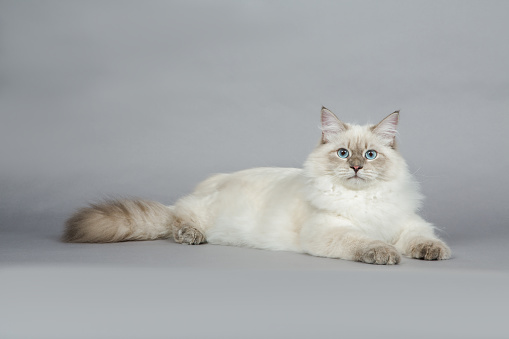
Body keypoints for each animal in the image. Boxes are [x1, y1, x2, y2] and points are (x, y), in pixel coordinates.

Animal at [62, 108, 448, 266]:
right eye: (342, 154)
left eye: (370, 155)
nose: (355, 167)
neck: (363, 201)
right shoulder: (331, 230)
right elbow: (366, 242)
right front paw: (385, 253)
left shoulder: (406, 223)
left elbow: (421, 238)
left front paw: (431, 252)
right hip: (198, 213)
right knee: (177, 220)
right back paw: (191, 235)